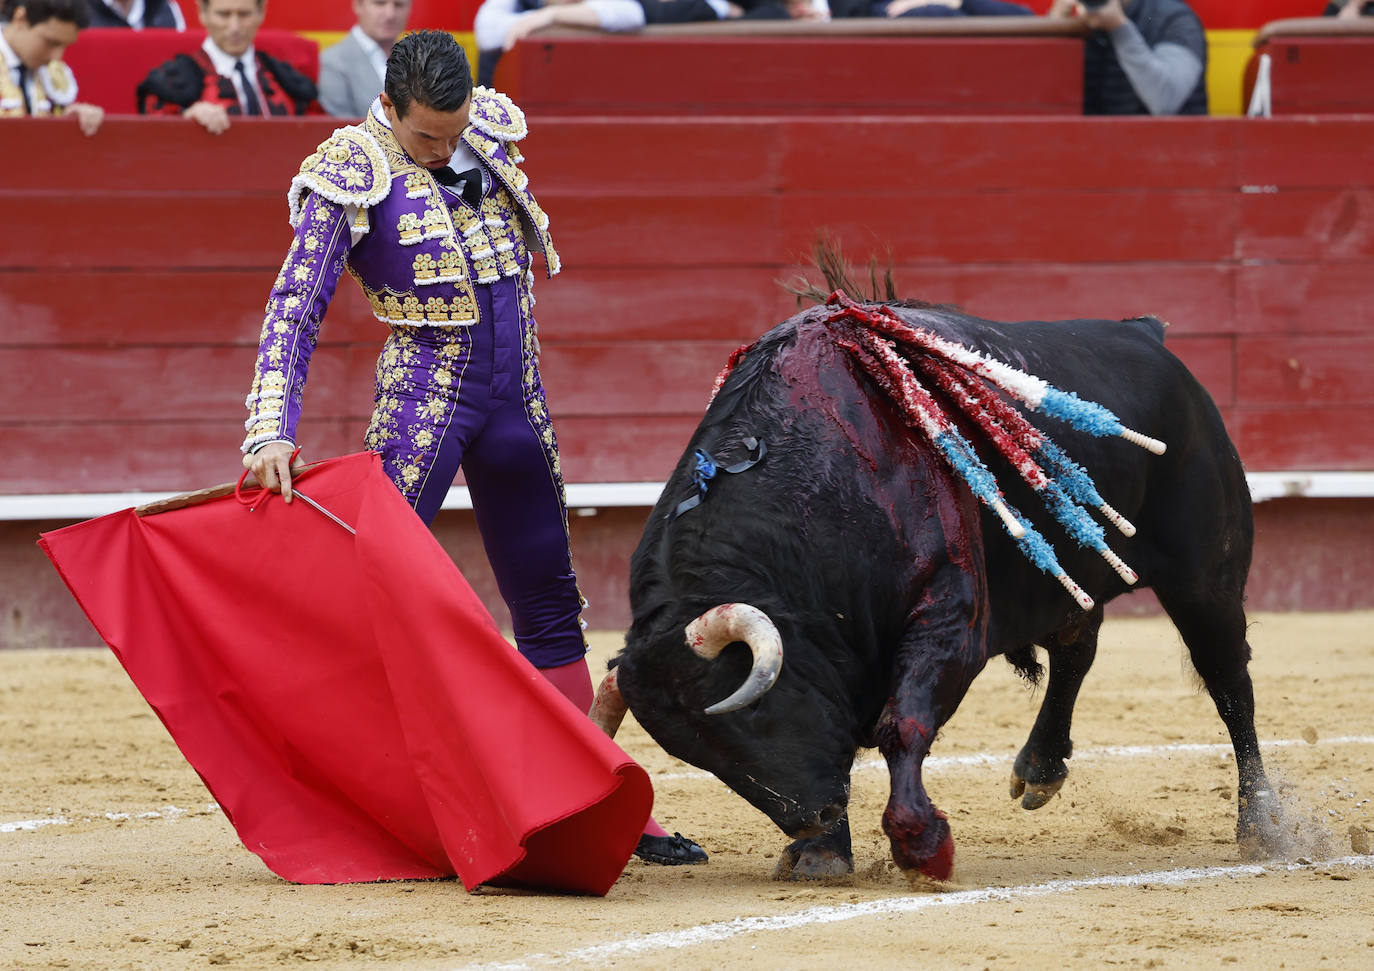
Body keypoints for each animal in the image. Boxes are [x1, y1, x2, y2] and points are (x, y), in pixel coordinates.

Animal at [596, 269, 1280, 884]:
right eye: (699, 755)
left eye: (755, 711)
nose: (815, 815)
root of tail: (1146, 335)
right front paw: (822, 854)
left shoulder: (950, 618)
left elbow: (902, 723)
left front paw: (922, 847)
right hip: (1065, 581)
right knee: (1076, 652)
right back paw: (1041, 770)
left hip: (1205, 578)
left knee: (1229, 683)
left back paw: (1263, 826)